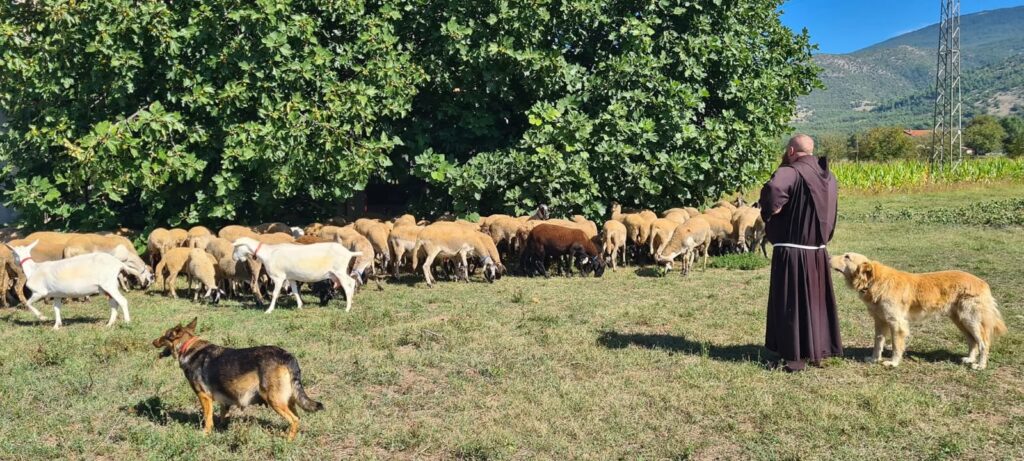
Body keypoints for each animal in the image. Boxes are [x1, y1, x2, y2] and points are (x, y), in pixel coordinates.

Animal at [6, 240, 139, 329]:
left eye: (13, 253)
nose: (14, 262)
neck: (33, 269)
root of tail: (118, 264)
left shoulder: (39, 291)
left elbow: (28, 303)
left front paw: (42, 317)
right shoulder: (56, 294)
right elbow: (56, 308)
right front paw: (56, 326)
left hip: (108, 284)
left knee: (122, 301)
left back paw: (127, 322)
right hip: (106, 286)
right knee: (113, 303)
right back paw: (109, 324)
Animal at [152, 318, 324, 440]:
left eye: (164, 336)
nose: (152, 341)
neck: (188, 347)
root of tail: (287, 355)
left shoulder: (204, 396)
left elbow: (208, 419)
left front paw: (206, 434)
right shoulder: (223, 401)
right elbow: (221, 416)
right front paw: (220, 429)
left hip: (274, 400)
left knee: (294, 419)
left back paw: (288, 440)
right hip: (288, 400)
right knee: (297, 417)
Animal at [231, 237, 361, 313]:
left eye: (236, 248)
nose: (233, 258)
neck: (268, 253)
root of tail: (349, 253)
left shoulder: (278, 277)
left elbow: (275, 294)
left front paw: (269, 310)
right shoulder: (290, 277)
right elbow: (295, 291)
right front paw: (299, 306)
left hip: (339, 271)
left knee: (348, 285)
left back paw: (347, 308)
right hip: (337, 273)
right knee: (352, 282)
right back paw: (351, 303)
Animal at [831, 252, 1007, 369]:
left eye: (847, 256)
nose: (829, 256)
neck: (874, 281)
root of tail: (983, 283)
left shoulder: (897, 323)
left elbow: (896, 345)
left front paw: (893, 363)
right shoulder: (880, 321)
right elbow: (878, 342)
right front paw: (874, 359)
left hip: (970, 319)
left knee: (984, 343)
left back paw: (980, 366)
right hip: (960, 319)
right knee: (972, 341)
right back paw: (970, 359)